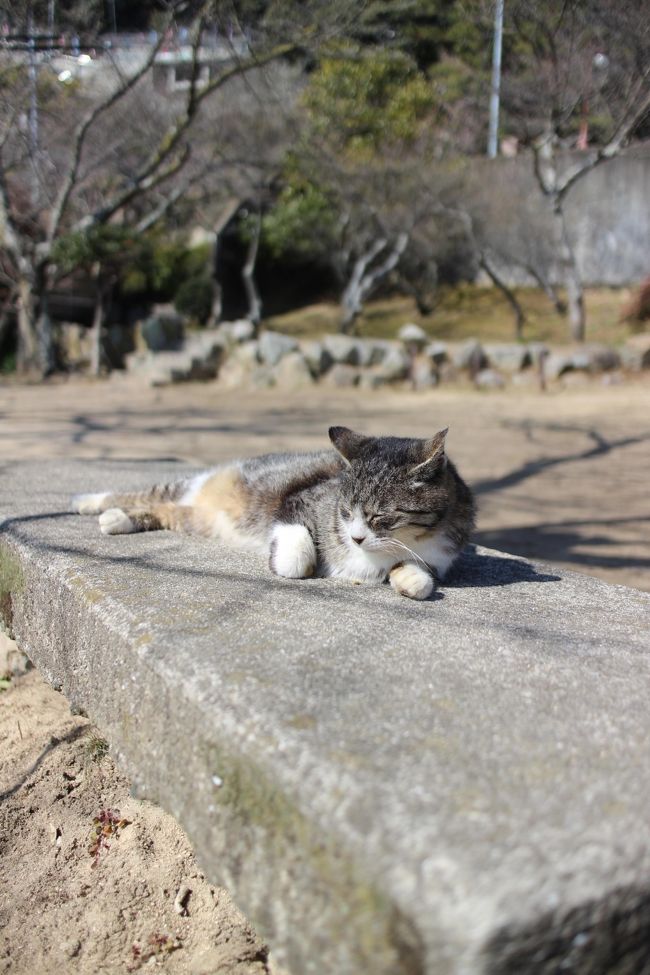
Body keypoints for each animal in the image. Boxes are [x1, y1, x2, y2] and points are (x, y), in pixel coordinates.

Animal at [72, 428, 476, 604]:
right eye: (345, 512)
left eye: (379, 517)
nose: (357, 537)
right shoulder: (297, 501)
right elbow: (299, 554)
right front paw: (287, 561)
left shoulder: (439, 555)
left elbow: (419, 572)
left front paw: (410, 579)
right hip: (187, 486)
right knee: (147, 494)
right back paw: (91, 502)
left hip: (188, 517)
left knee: (162, 510)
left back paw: (116, 519)